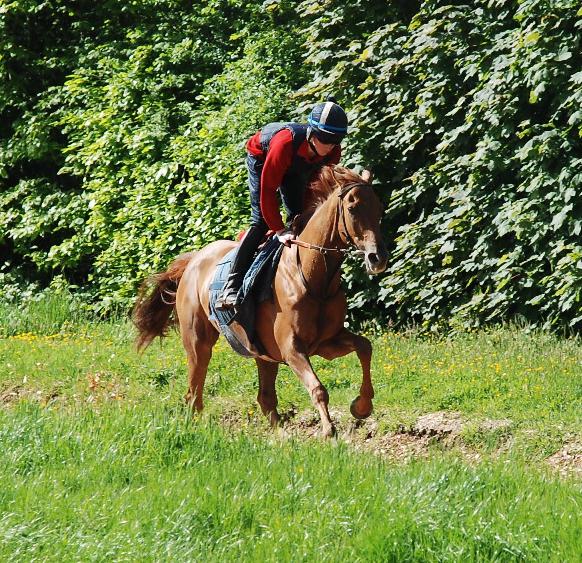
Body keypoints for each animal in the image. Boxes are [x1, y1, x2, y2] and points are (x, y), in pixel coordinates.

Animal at [132, 165, 388, 438]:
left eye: (379, 207)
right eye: (352, 208)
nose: (378, 257)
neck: (311, 277)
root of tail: (194, 259)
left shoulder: (326, 342)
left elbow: (365, 347)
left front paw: (362, 406)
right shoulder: (291, 348)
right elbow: (318, 388)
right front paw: (329, 430)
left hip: (262, 352)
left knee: (264, 398)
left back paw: (281, 436)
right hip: (197, 341)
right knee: (194, 391)